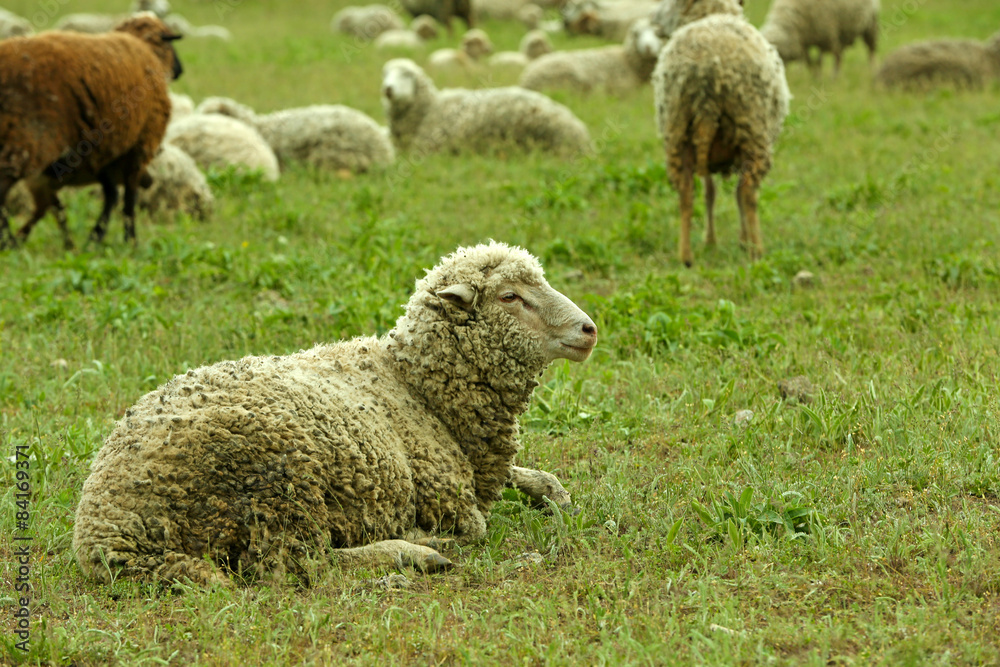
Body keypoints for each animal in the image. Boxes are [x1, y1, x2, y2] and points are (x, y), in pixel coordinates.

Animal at [0, 13, 184, 250]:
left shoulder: (105, 152)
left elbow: (111, 195)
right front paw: (131, 241)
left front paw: (96, 238)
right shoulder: (140, 145)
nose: (180, 70)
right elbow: (129, 199)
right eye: (170, 42)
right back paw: (9, 240)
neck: (146, 49)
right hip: (29, 135)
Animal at [76, 241, 600, 584]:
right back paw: (418, 552)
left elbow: (538, 477)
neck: (416, 388)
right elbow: (478, 525)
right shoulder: (448, 494)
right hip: (278, 480)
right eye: (510, 297)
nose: (589, 329)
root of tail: (105, 531)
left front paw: (556, 497)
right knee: (296, 565)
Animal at [652, 0, 792, 266]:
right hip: (752, 129)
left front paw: (712, 241)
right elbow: (735, 194)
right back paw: (757, 251)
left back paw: (686, 256)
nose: (654, 22)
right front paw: (743, 241)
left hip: (677, 129)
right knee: (748, 192)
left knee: (686, 193)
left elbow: (711, 193)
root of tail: (705, 71)